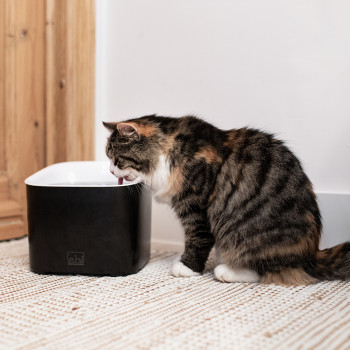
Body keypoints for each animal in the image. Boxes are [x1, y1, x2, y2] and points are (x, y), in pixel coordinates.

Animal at [104, 115, 350, 284]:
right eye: (109, 158)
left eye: (117, 159)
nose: (110, 171)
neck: (171, 149)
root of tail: (311, 254)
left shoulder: (195, 208)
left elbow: (197, 240)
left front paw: (187, 267)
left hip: (245, 236)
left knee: (264, 271)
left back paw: (224, 271)